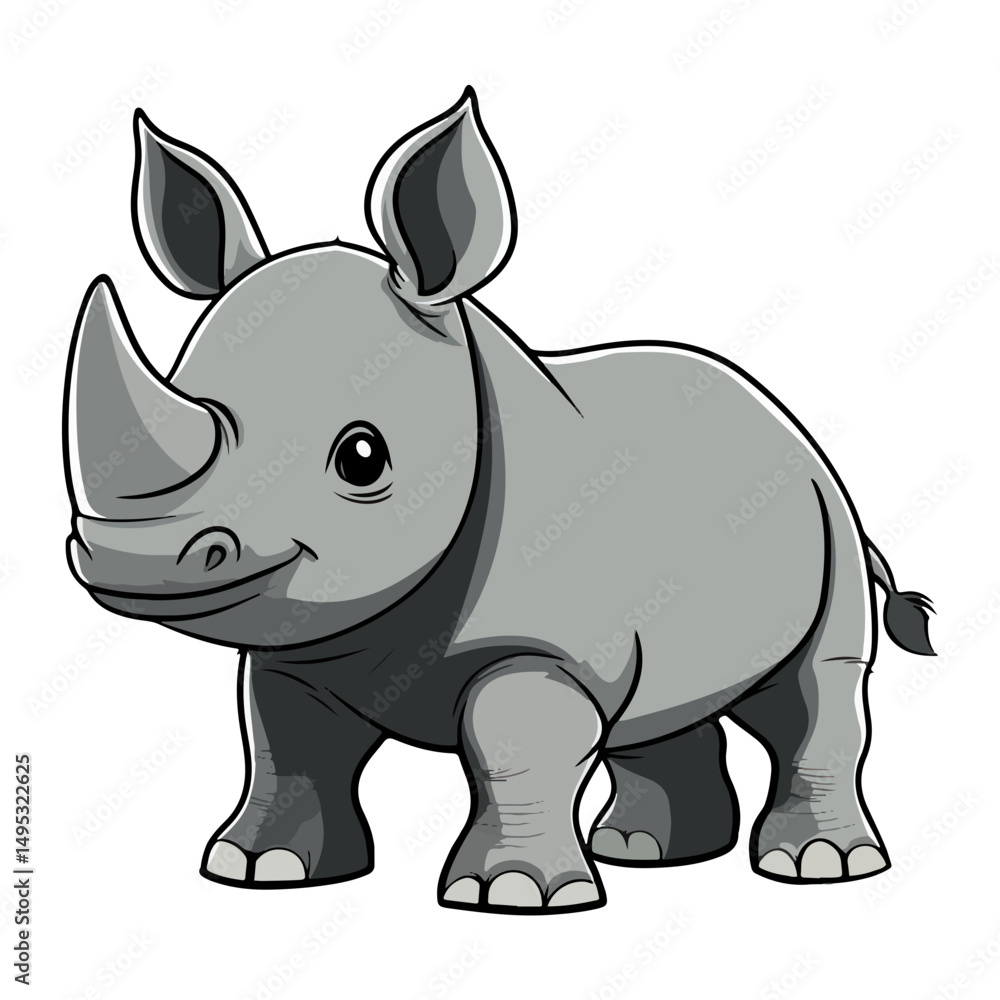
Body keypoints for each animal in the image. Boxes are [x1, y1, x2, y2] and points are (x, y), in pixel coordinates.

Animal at [63, 87, 935, 914]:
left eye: (362, 457)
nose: (130, 559)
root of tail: (785, 419)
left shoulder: (545, 648)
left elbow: (512, 748)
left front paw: (514, 895)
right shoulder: (300, 651)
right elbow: (288, 746)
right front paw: (262, 868)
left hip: (829, 515)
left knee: (817, 690)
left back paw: (819, 866)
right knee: (661, 705)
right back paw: (643, 852)